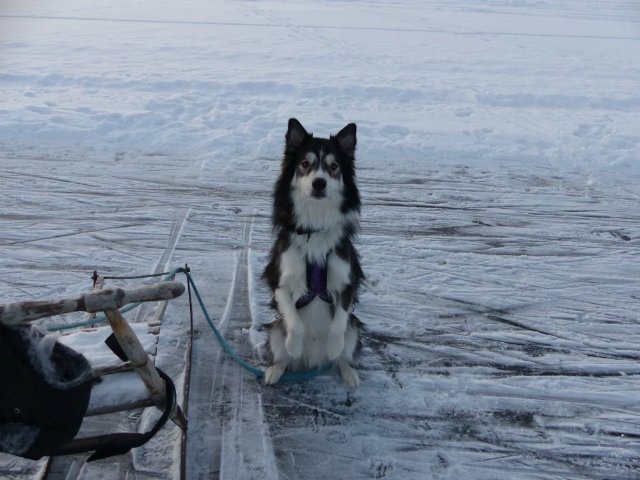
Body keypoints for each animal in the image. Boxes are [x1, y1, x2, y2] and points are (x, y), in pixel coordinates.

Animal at [262, 118, 364, 388]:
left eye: (334, 166)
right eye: (305, 164)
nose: (319, 183)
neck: (315, 226)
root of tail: (314, 359)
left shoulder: (348, 282)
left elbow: (339, 323)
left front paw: (334, 346)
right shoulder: (278, 279)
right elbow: (294, 320)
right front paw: (294, 345)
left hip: (355, 329)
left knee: (343, 354)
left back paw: (346, 369)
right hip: (275, 331)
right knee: (283, 354)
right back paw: (277, 368)